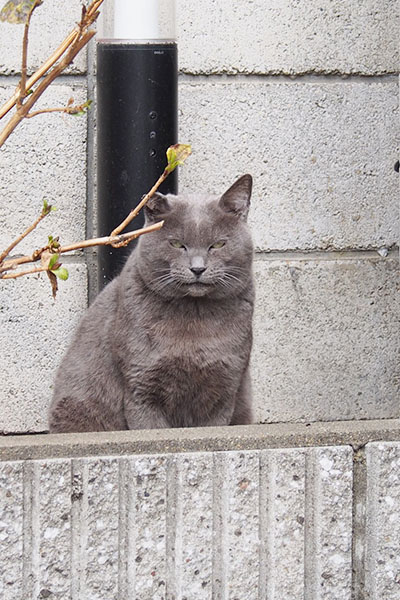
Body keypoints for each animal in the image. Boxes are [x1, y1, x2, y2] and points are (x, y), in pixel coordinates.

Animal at [48, 173, 255, 432]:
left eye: (218, 244)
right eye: (176, 244)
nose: (198, 268)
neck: (194, 317)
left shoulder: (225, 389)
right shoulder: (141, 385)